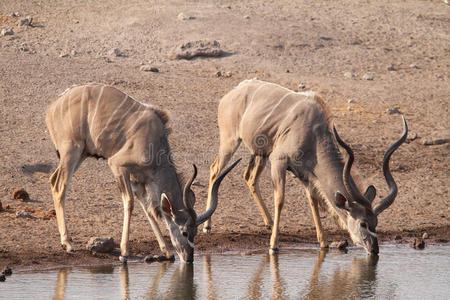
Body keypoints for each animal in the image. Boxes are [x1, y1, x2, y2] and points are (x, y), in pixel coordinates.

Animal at [46, 83, 239, 262]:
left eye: (196, 232)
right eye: (185, 232)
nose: (189, 257)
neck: (155, 143)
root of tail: (53, 107)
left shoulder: (138, 180)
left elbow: (148, 209)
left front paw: (166, 252)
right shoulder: (118, 165)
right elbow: (130, 203)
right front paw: (124, 252)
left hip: (82, 153)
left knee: (53, 179)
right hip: (72, 150)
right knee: (59, 186)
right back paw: (67, 243)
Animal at [204, 78, 408, 254]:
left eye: (376, 222)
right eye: (363, 223)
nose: (374, 249)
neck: (314, 134)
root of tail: (234, 91)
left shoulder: (305, 173)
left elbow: (313, 200)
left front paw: (323, 242)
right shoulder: (278, 160)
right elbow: (280, 199)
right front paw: (273, 245)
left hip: (259, 153)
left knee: (249, 177)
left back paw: (269, 222)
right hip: (230, 141)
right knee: (215, 170)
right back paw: (207, 226)